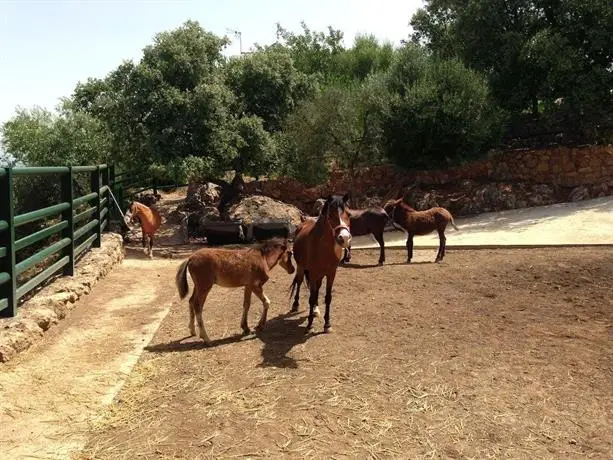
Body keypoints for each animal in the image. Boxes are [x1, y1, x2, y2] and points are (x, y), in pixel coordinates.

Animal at [290, 192, 352, 332]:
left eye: (349, 214)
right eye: (331, 215)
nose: (344, 238)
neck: (323, 248)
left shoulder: (331, 273)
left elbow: (327, 297)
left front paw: (327, 324)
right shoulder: (313, 273)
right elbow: (311, 297)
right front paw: (309, 325)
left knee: (316, 290)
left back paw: (315, 310)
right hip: (302, 268)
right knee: (299, 282)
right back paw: (295, 305)